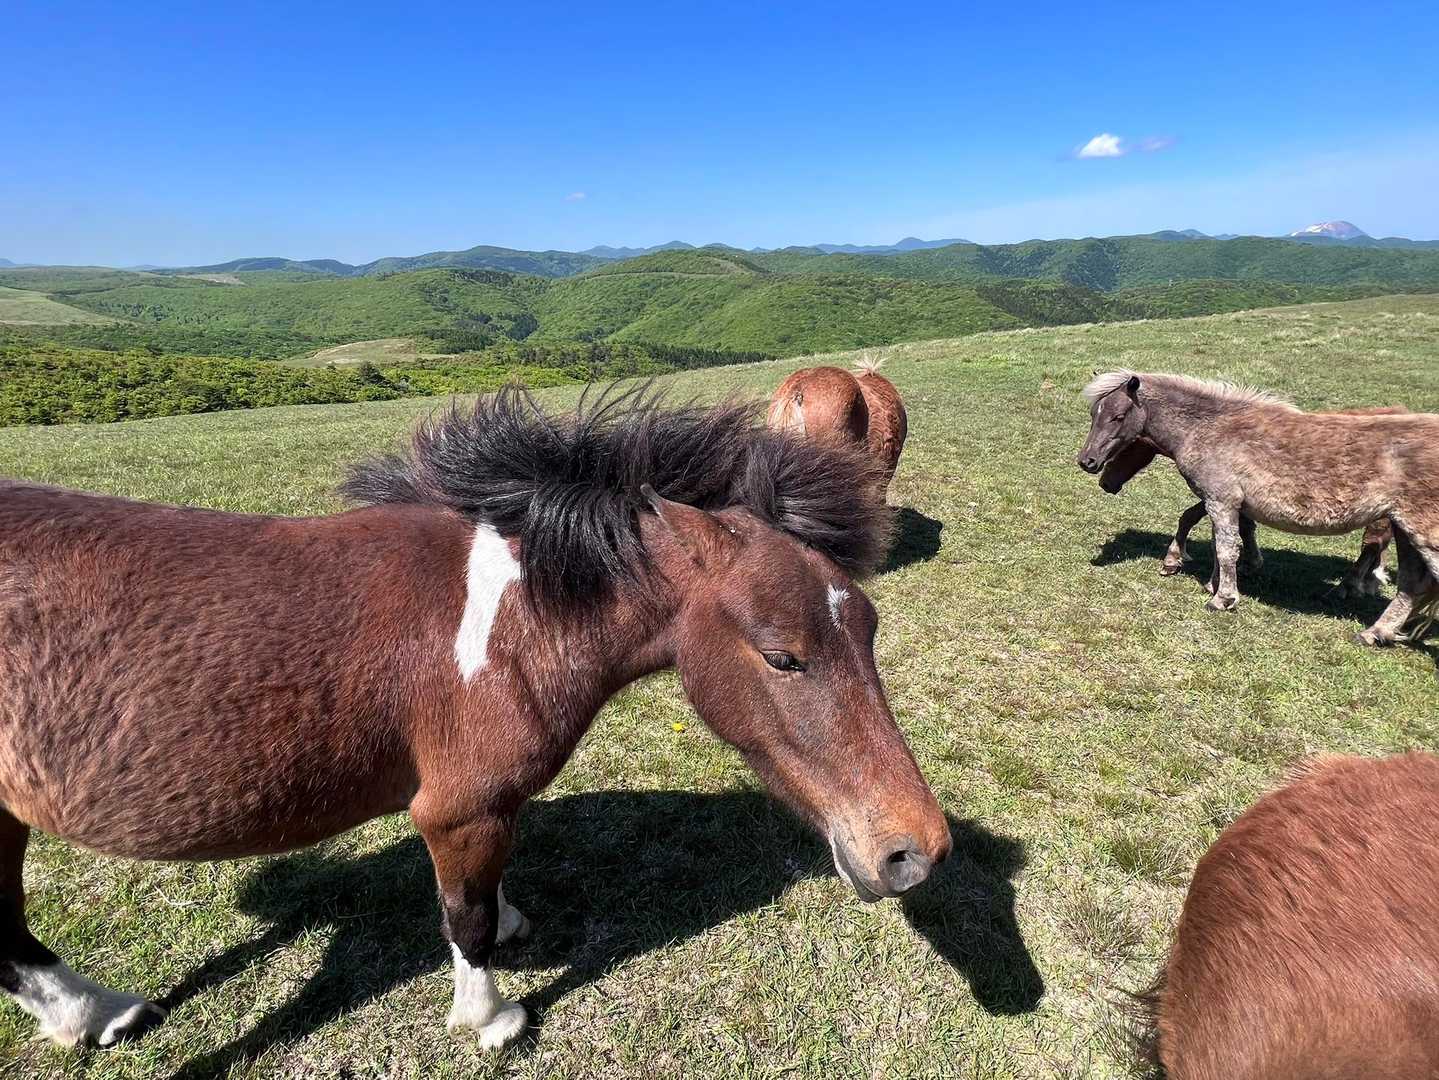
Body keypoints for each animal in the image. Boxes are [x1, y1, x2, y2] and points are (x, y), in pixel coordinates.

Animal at [0, 386, 952, 1051]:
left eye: (869, 627)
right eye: (783, 656)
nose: (914, 852)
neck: (517, 615)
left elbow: (487, 898)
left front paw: (512, 921)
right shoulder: (457, 811)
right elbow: (464, 921)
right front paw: (490, 1018)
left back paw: (91, 1014)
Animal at [1097, 420, 1402, 597]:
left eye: (1122, 447)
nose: (1104, 482)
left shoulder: (1220, 495)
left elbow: (1193, 519)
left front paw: (1175, 561)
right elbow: (1242, 527)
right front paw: (1248, 564)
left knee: (1373, 542)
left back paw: (1350, 586)